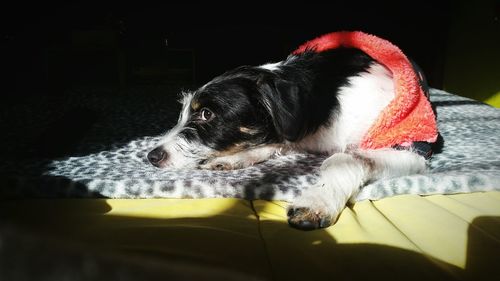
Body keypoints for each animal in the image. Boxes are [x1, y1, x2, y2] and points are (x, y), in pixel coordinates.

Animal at [146, 37, 434, 230]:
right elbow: (278, 142)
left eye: (207, 114)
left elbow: (346, 158)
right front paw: (233, 158)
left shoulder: (410, 147)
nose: (151, 156)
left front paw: (318, 201)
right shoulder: (299, 134)